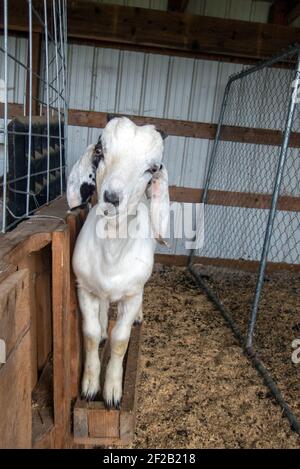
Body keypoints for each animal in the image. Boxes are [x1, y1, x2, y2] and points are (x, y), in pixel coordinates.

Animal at [67, 116, 169, 406]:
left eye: (152, 168)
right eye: (100, 151)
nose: (111, 198)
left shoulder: (132, 295)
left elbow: (121, 340)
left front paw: (112, 392)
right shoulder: (84, 288)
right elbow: (90, 334)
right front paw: (90, 387)